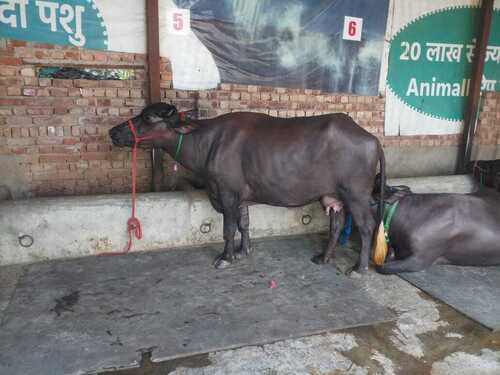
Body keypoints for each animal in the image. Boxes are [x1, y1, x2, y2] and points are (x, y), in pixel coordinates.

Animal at [108, 103, 386, 274]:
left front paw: (226, 257)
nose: (113, 132)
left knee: (366, 226)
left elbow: (228, 229)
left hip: (356, 195)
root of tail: (372, 139)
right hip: (333, 195)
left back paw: (359, 268)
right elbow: (244, 224)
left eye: (147, 117)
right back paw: (324, 257)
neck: (206, 142)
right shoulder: (240, 198)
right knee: (336, 224)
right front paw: (244, 251)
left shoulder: (226, 193)